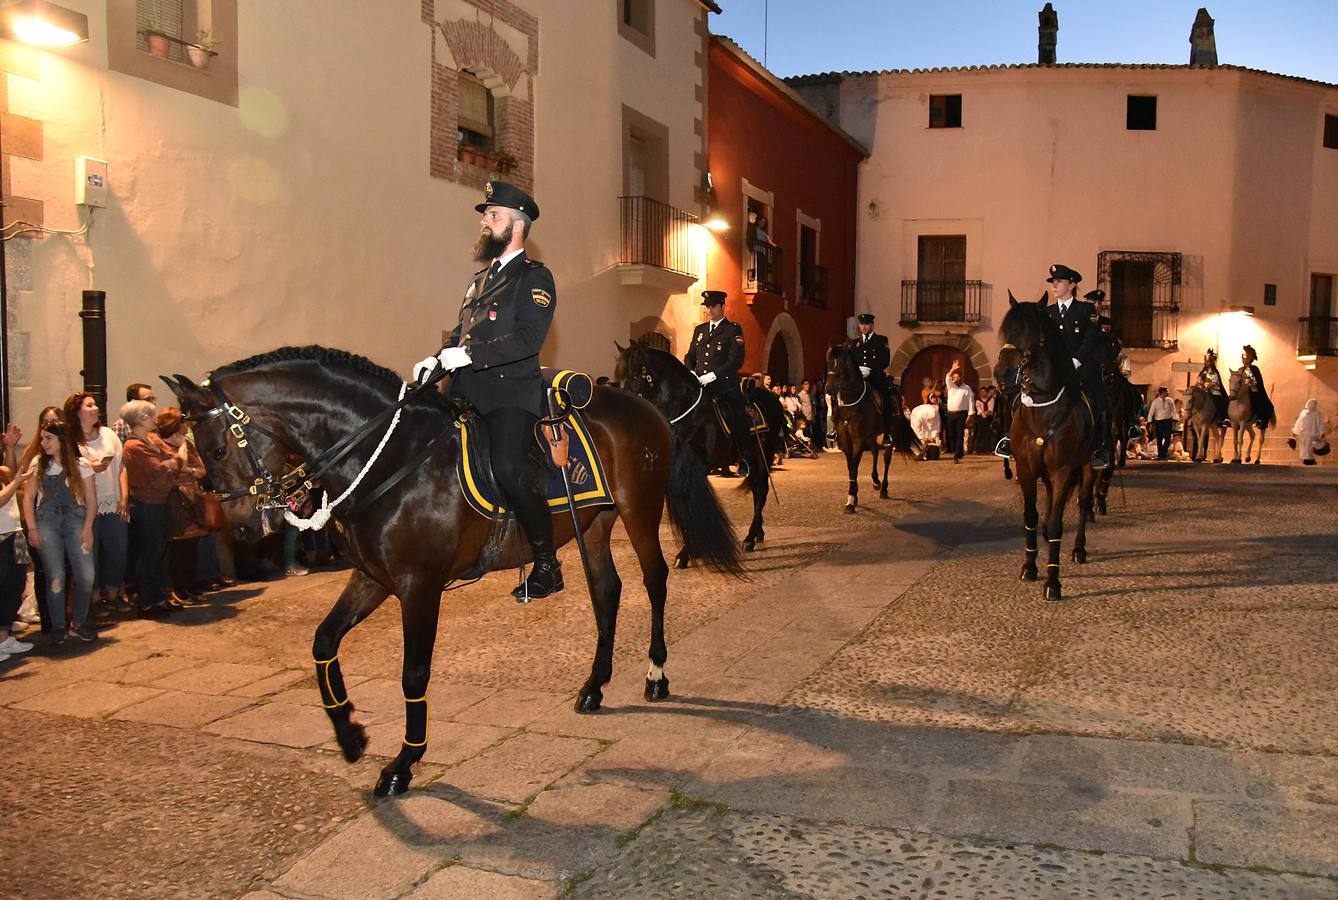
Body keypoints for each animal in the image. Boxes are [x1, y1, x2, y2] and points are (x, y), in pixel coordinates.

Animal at [164, 345, 743, 791]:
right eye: (201, 454)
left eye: (215, 449)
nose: (242, 529)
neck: (392, 457)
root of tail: (646, 410)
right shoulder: (373, 578)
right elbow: (324, 641)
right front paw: (349, 734)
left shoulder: (419, 586)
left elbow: (413, 672)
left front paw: (404, 762)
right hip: (595, 524)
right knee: (608, 591)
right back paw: (595, 685)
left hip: (638, 510)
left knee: (654, 581)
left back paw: (656, 675)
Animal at [615, 341, 781, 558]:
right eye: (617, 377)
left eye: (634, 375)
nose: (623, 410)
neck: (685, 411)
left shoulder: (698, 467)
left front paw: (687, 551)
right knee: (756, 489)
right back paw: (758, 534)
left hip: (763, 455)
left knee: (761, 490)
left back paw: (750, 538)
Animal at [824, 345, 920, 513]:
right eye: (827, 361)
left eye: (842, 362)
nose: (829, 389)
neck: (850, 405)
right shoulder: (845, 441)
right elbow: (851, 467)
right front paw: (854, 496)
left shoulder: (858, 440)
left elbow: (854, 467)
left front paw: (851, 500)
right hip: (871, 435)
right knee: (875, 451)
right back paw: (876, 481)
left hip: (890, 432)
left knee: (886, 458)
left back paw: (884, 489)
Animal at [995, 296, 1097, 604]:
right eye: (1006, 332)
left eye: (1034, 335)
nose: (1002, 375)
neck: (1043, 408)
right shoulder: (1026, 469)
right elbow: (1030, 517)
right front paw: (1029, 566)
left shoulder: (1063, 470)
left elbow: (1056, 523)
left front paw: (1053, 582)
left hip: (1089, 465)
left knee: (1084, 502)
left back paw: (1078, 549)